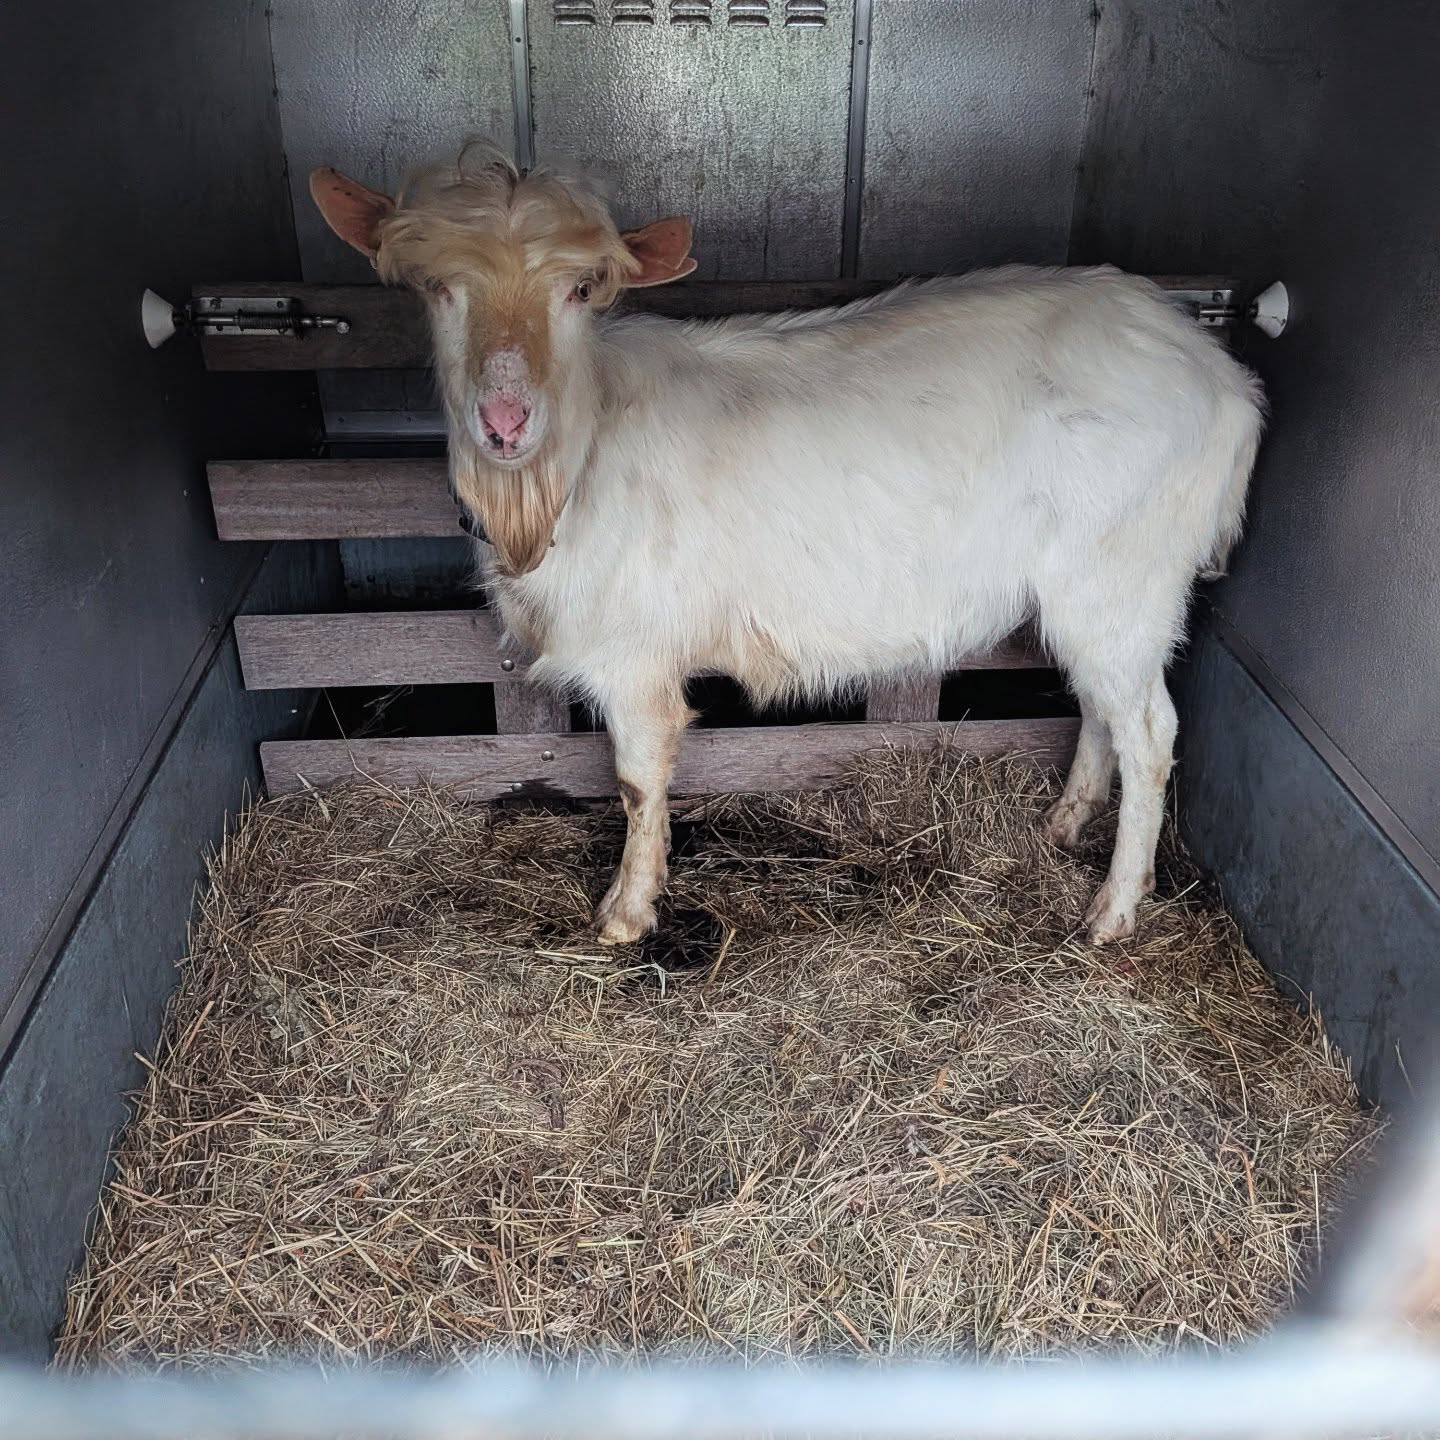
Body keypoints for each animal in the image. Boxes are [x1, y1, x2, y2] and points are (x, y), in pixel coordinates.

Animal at [311, 144, 1264, 947]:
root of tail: (1227, 383)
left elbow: (638, 777)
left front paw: (626, 912)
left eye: (580, 290)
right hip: (1092, 594)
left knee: (1149, 729)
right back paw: (1061, 826)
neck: (569, 467)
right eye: (438, 288)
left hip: (1126, 570)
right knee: (1102, 706)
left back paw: (1112, 911)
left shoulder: (634, 653)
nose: (505, 418)